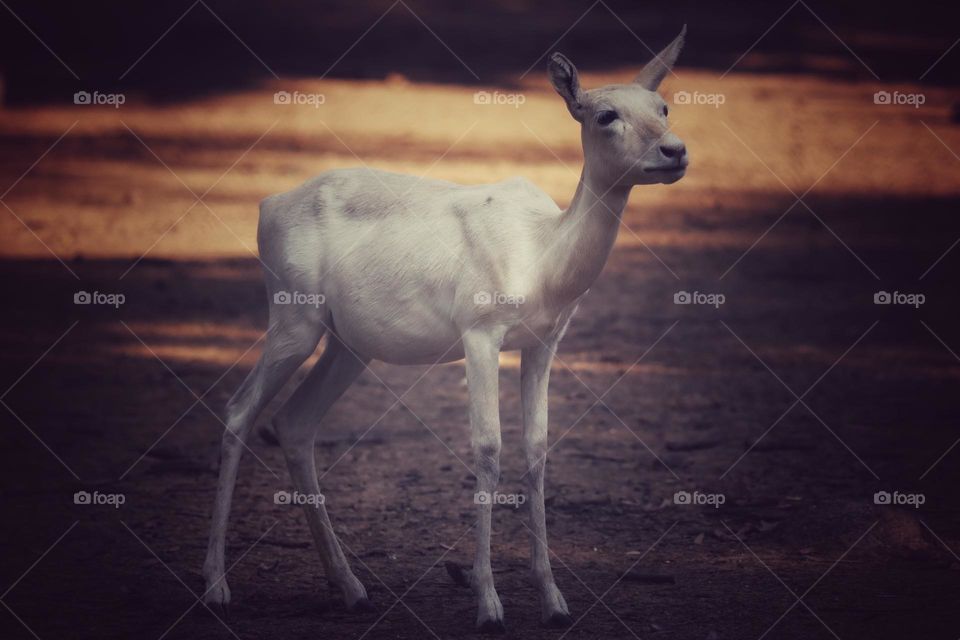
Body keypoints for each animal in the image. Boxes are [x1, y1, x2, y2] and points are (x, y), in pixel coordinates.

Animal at [202, 27, 688, 634]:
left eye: (663, 106)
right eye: (605, 114)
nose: (675, 151)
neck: (541, 254)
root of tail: (268, 204)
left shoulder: (544, 344)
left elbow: (536, 450)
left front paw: (553, 601)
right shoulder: (480, 335)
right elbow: (488, 447)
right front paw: (488, 605)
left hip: (349, 347)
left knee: (293, 423)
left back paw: (352, 590)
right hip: (294, 321)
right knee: (239, 410)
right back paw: (217, 588)